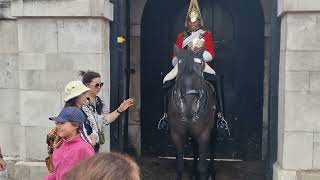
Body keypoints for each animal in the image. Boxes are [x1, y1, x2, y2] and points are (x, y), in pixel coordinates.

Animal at [168, 46, 218, 180]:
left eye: (199, 75)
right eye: (179, 74)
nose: (189, 108)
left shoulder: (204, 134)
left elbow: (203, 167)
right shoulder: (177, 134)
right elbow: (180, 166)